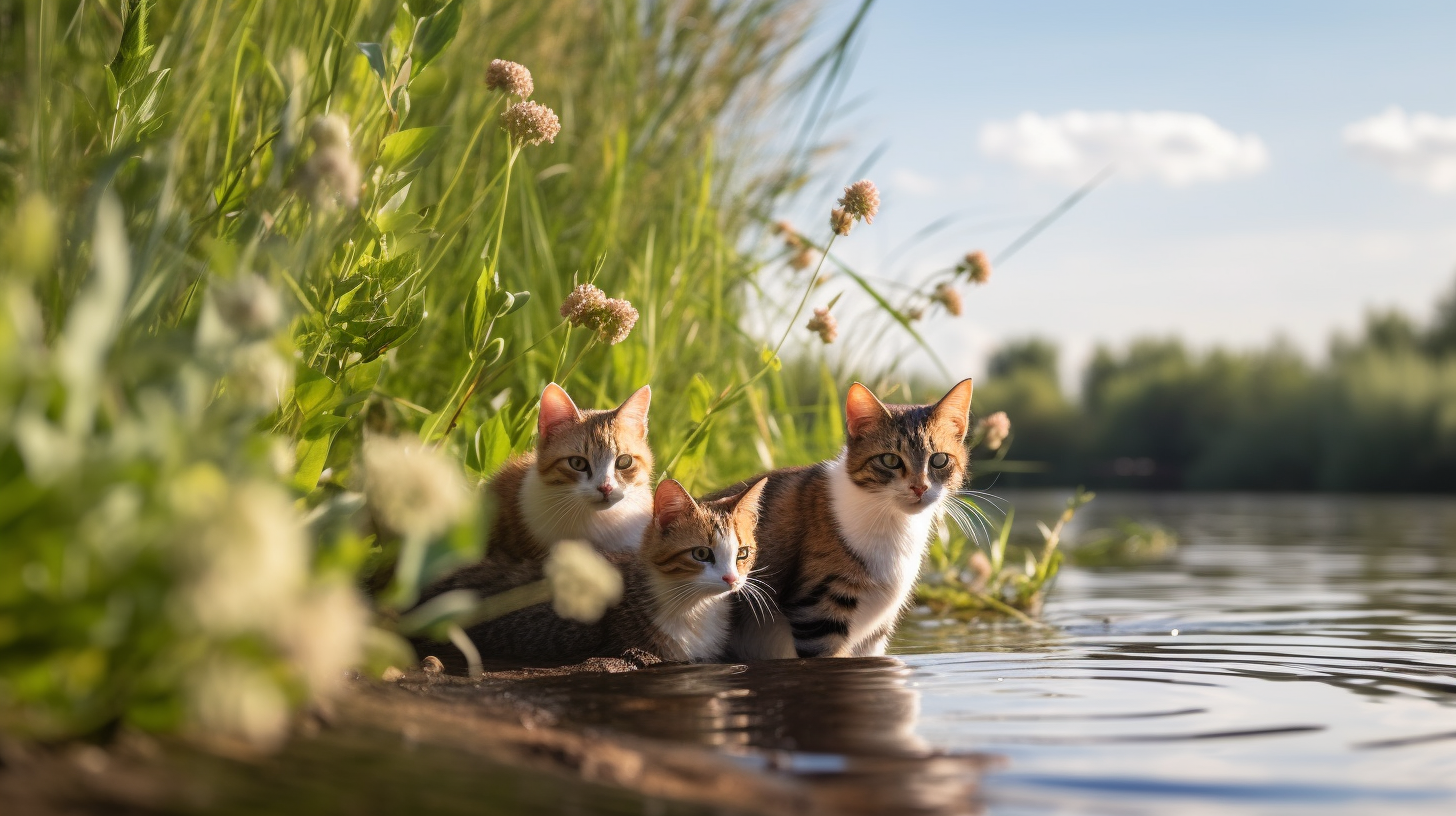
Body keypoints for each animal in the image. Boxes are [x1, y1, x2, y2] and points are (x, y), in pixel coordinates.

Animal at [707, 378, 978, 658]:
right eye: (890, 459)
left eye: (939, 460)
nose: (919, 488)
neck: (893, 521)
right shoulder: (818, 610)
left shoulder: (874, 634)